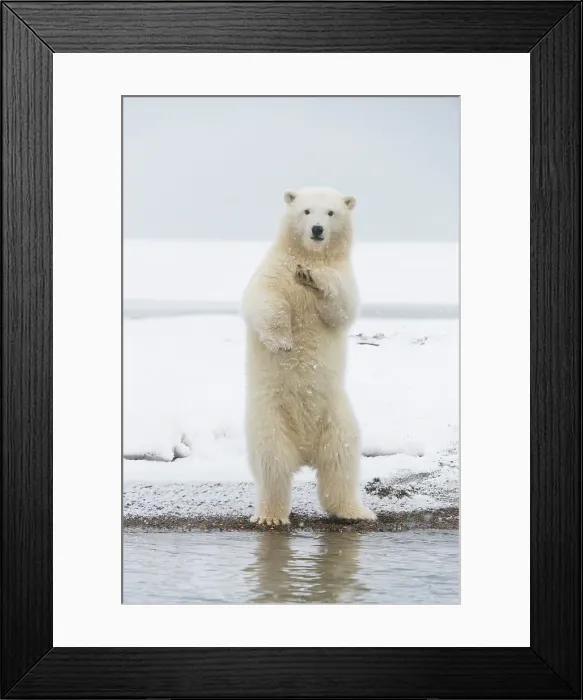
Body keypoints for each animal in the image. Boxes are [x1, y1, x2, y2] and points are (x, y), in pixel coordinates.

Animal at [242, 186, 376, 525]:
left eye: (330, 213)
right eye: (305, 211)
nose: (317, 230)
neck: (307, 254)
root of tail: (304, 450)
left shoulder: (344, 275)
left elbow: (341, 307)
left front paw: (313, 277)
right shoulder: (274, 271)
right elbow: (265, 301)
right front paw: (282, 342)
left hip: (338, 416)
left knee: (341, 462)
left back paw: (355, 512)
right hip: (269, 417)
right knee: (272, 465)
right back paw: (271, 516)